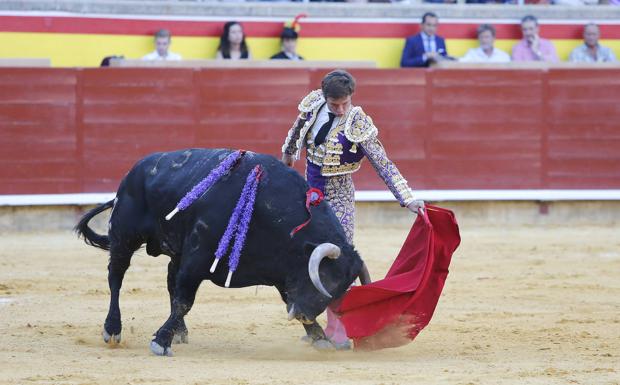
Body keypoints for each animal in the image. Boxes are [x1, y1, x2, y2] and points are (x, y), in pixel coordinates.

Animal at [75, 148, 364, 356]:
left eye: (340, 288)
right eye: (324, 278)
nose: (305, 314)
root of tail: (134, 171)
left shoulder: (285, 273)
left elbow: (288, 297)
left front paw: (319, 336)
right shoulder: (197, 258)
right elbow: (184, 301)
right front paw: (161, 341)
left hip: (173, 250)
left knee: (168, 280)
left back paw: (179, 332)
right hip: (124, 236)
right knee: (116, 277)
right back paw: (112, 329)